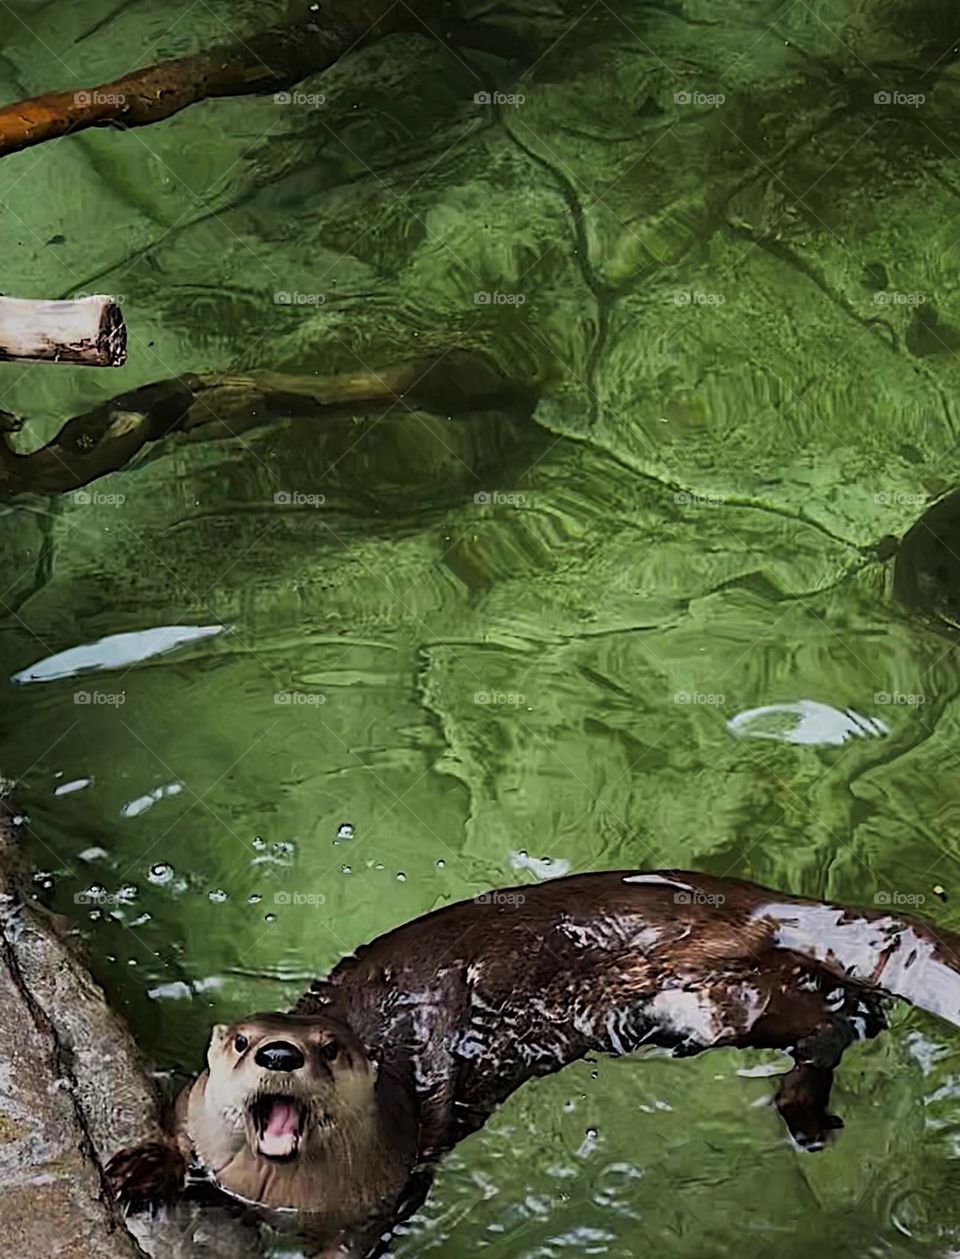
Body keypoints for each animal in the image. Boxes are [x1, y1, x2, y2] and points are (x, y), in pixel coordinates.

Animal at [107, 869, 960, 1256]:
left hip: (713, 998)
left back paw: (806, 1105)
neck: (274, 1195)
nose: (281, 1050)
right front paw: (141, 1168)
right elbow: (175, 1126)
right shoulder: (198, 1119)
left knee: (831, 1018)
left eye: (330, 1049)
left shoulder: (382, 1193)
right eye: (242, 1042)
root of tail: (737, 896)